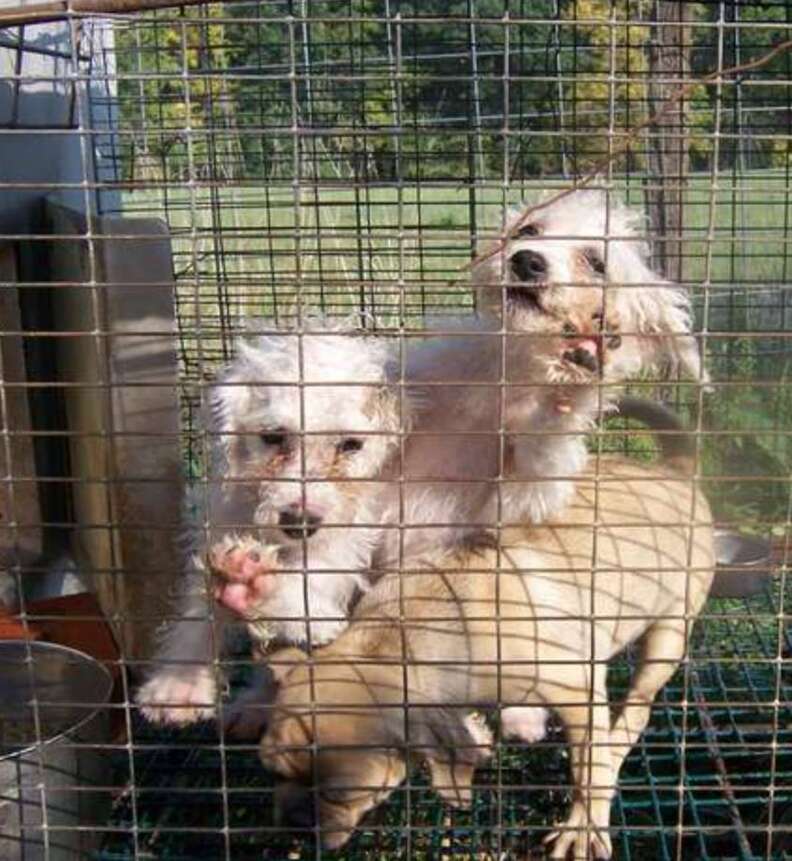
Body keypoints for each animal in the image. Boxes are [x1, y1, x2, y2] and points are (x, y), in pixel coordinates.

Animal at [258, 454, 712, 856]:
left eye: (344, 794)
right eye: (272, 771)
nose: (297, 823)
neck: (399, 637)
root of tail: (675, 472)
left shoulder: (578, 692)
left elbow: (588, 770)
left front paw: (584, 825)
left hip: (669, 635)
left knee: (636, 708)